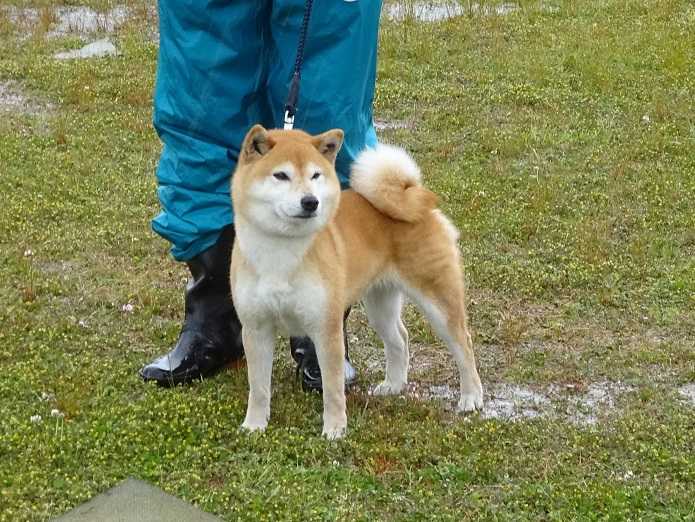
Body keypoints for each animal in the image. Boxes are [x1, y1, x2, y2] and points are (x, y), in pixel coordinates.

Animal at [231, 126, 482, 438]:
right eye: (281, 175)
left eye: (316, 175)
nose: (310, 202)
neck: (281, 251)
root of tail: (412, 192)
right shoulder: (256, 329)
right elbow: (259, 388)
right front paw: (254, 425)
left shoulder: (326, 328)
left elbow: (332, 389)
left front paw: (334, 430)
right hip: (379, 305)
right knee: (400, 338)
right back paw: (394, 385)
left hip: (437, 300)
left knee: (463, 344)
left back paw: (471, 397)